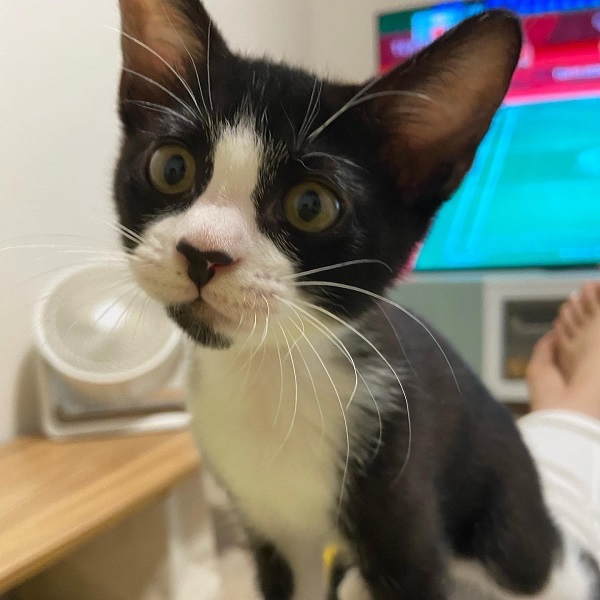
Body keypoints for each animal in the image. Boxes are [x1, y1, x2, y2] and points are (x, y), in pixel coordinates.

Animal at [113, 1, 599, 599]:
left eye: (312, 205)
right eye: (171, 167)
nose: (203, 253)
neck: (269, 376)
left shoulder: (402, 500)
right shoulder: (270, 530)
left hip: (510, 531)